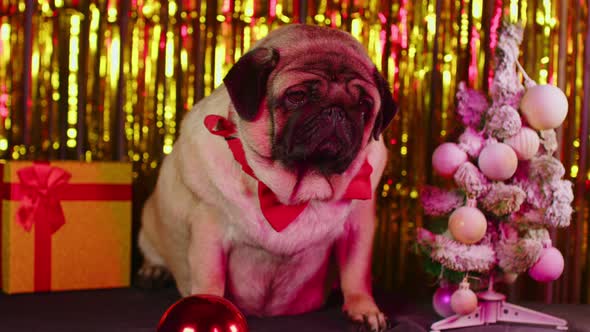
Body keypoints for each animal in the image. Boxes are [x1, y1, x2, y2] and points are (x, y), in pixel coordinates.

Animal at [138, 24, 398, 330]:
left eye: (364, 106)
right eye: (297, 96)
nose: (336, 110)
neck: (296, 188)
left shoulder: (359, 226)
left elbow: (357, 272)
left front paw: (364, 309)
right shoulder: (209, 228)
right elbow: (210, 276)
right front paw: (207, 309)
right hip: (149, 222)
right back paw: (153, 271)